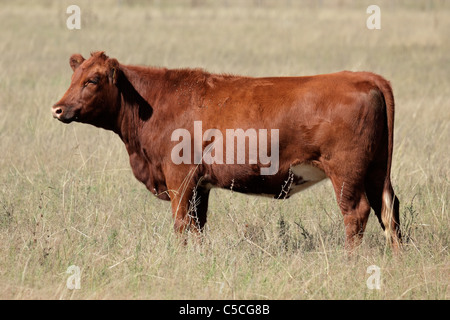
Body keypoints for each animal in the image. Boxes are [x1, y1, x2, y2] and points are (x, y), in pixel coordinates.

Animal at [51, 51, 400, 251]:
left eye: (93, 79)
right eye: (74, 76)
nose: (58, 108)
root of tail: (364, 76)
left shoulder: (180, 178)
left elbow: (181, 223)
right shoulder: (200, 185)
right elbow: (198, 225)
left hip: (346, 172)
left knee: (356, 213)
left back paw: (350, 260)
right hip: (376, 171)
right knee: (389, 209)